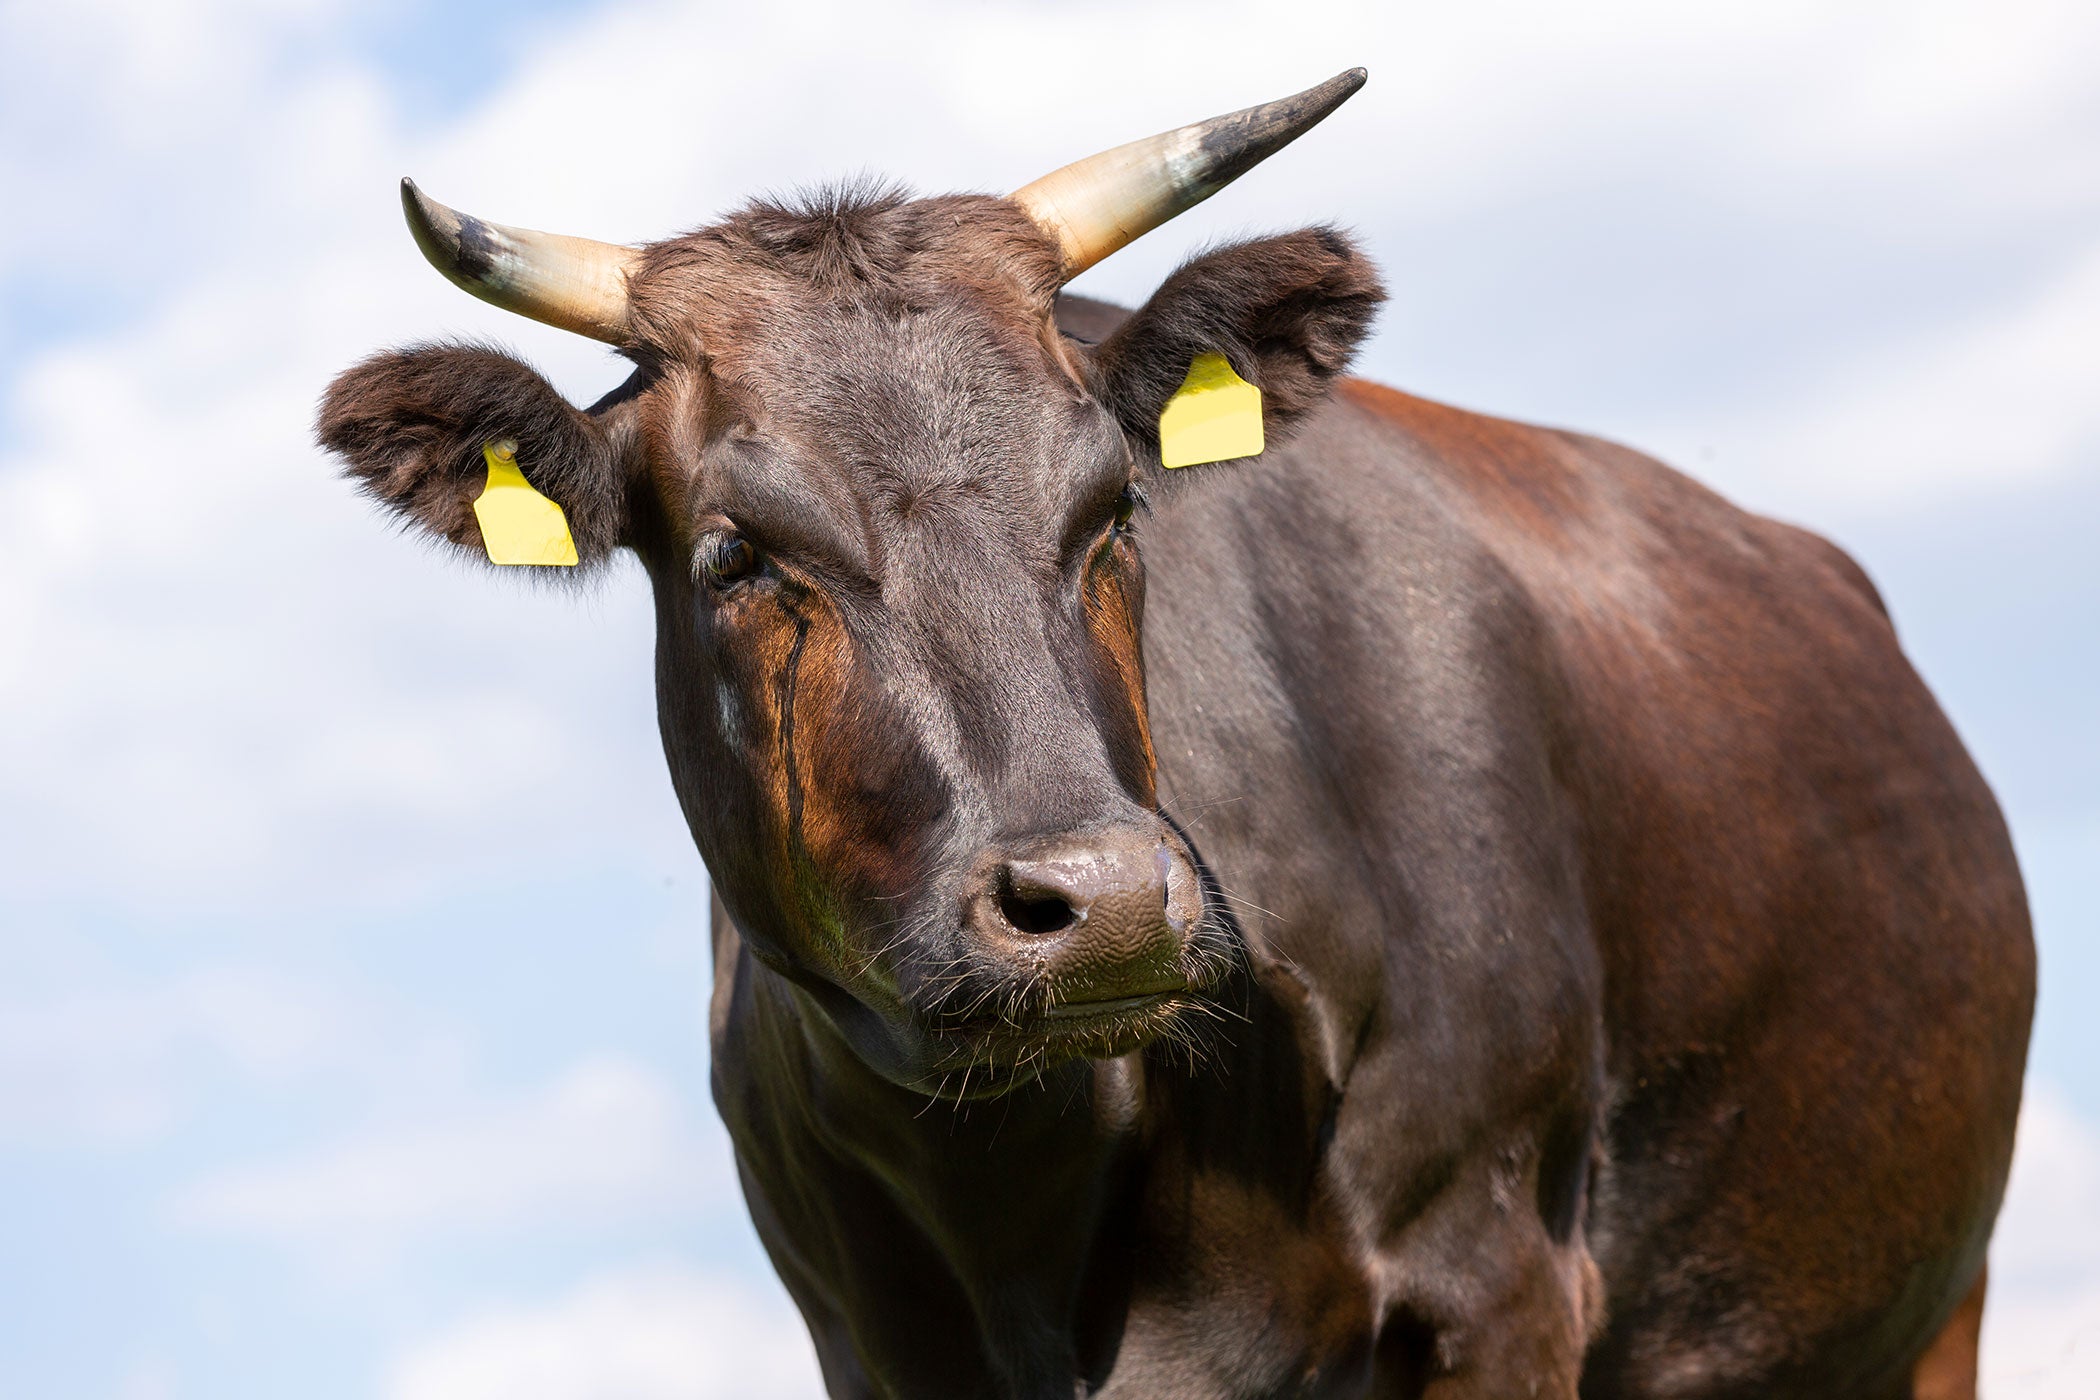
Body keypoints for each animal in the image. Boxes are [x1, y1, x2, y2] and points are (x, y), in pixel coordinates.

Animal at [319, 73, 2041, 1400]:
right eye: (739, 551)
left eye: (1117, 504)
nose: (1103, 908)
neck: (1035, 1198)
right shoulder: (872, 1346)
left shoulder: (1500, 1286)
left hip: (1927, 1307)